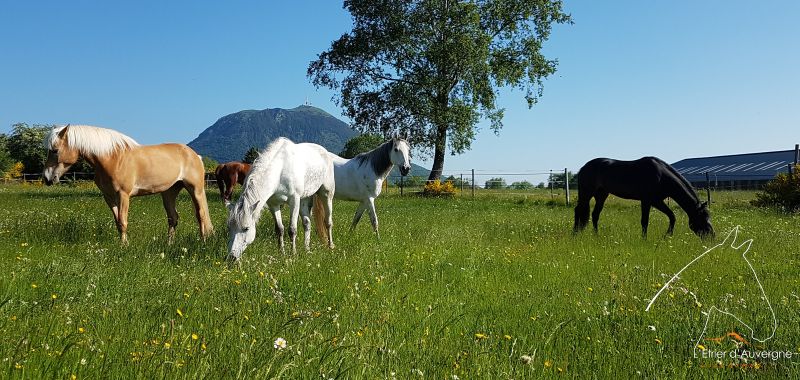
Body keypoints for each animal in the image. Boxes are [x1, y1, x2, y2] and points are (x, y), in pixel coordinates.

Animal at [42, 124, 212, 243]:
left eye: (55, 150)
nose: (47, 178)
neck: (112, 158)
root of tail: (194, 155)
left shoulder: (123, 195)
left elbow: (123, 221)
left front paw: (124, 246)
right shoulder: (109, 197)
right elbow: (117, 222)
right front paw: (122, 244)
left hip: (195, 190)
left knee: (201, 215)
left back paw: (203, 241)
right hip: (169, 192)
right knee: (173, 218)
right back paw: (169, 244)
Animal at [576, 155, 712, 238]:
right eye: (703, 218)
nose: (712, 235)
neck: (661, 176)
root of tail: (583, 167)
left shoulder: (657, 201)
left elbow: (672, 216)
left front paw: (667, 236)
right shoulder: (647, 201)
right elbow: (645, 221)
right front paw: (644, 239)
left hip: (601, 195)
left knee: (595, 214)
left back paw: (596, 235)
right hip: (586, 193)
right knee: (578, 210)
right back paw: (575, 233)